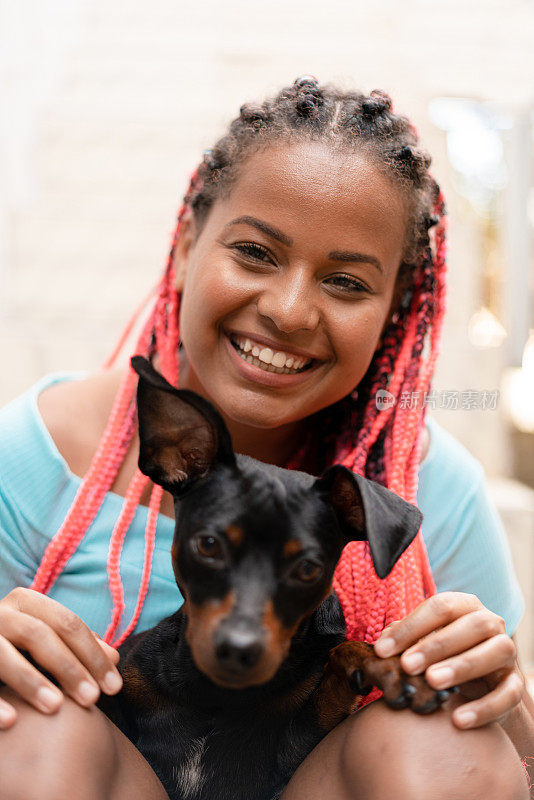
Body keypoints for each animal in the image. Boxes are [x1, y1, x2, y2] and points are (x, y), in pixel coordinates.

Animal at [99, 360, 448, 800]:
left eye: (308, 569)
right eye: (209, 545)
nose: (238, 650)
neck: (215, 695)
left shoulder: (291, 754)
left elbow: (347, 653)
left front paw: (394, 667)